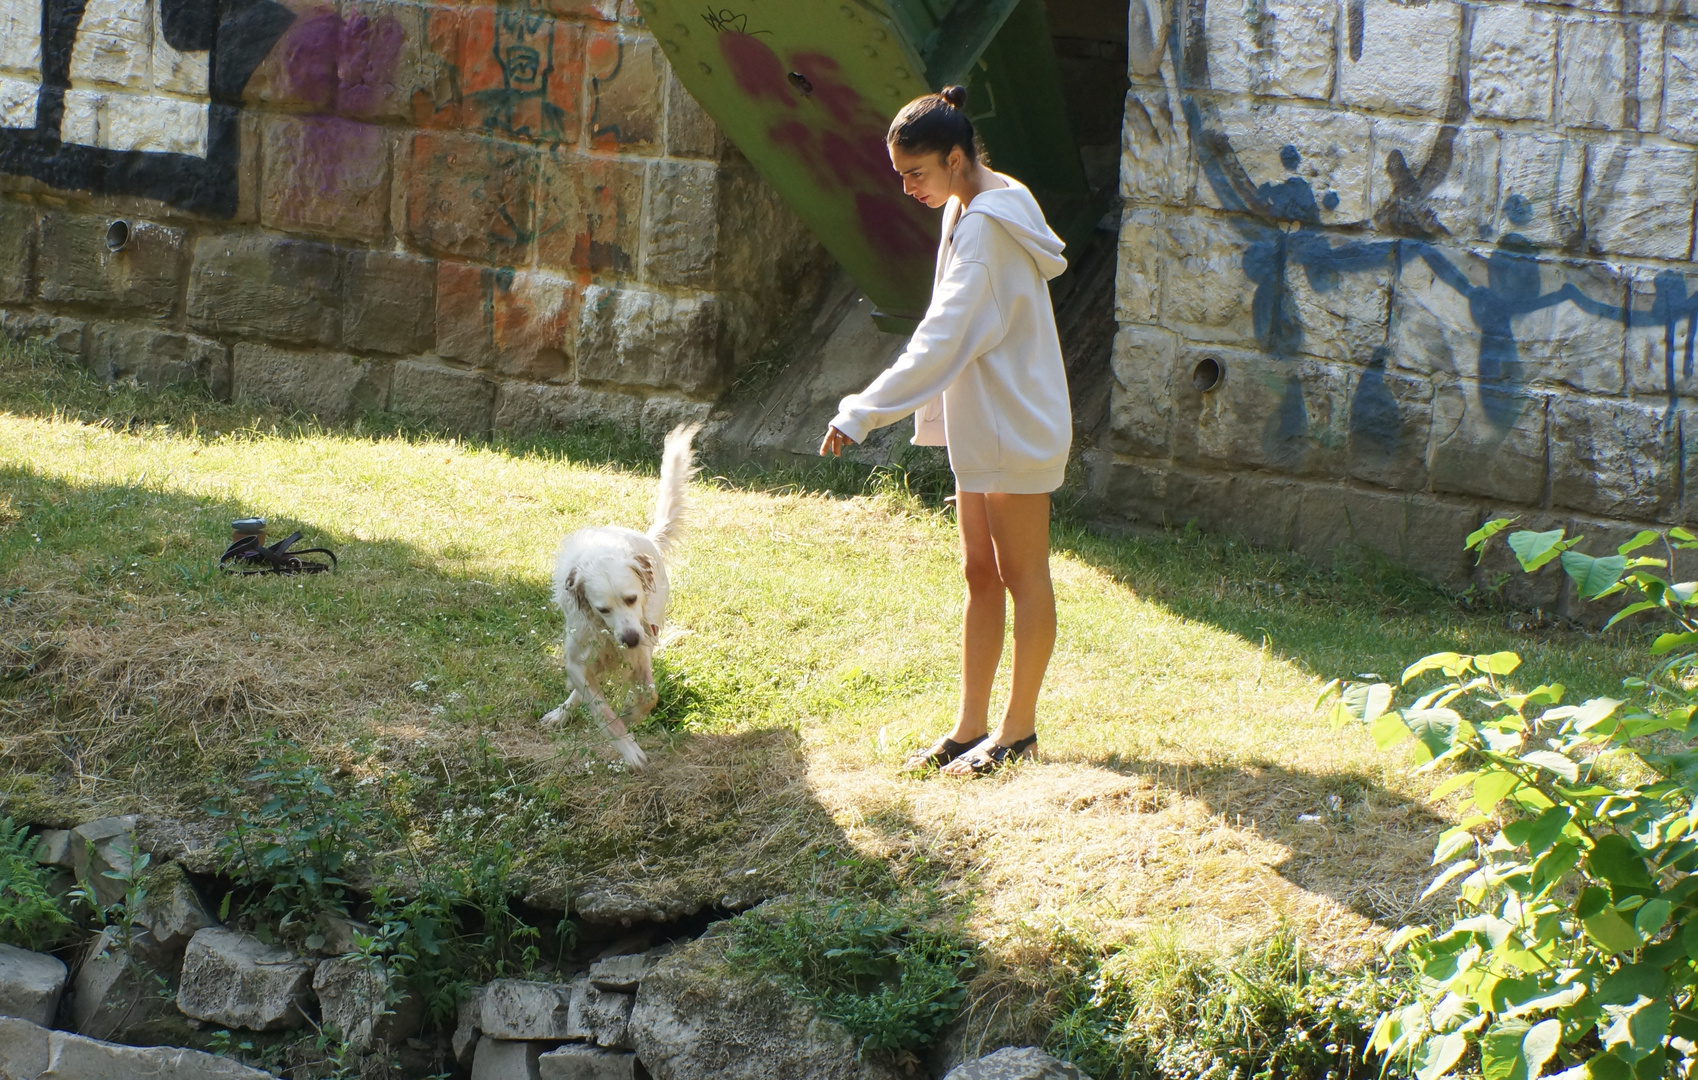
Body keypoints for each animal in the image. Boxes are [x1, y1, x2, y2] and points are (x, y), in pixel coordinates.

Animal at [543, 419, 702, 767]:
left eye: (632, 598)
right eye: (602, 609)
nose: (629, 639)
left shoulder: (640, 652)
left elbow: (647, 697)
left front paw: (629, 718)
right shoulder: (578, 657)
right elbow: (602, 710)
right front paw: (627, 746)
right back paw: (561, 714)